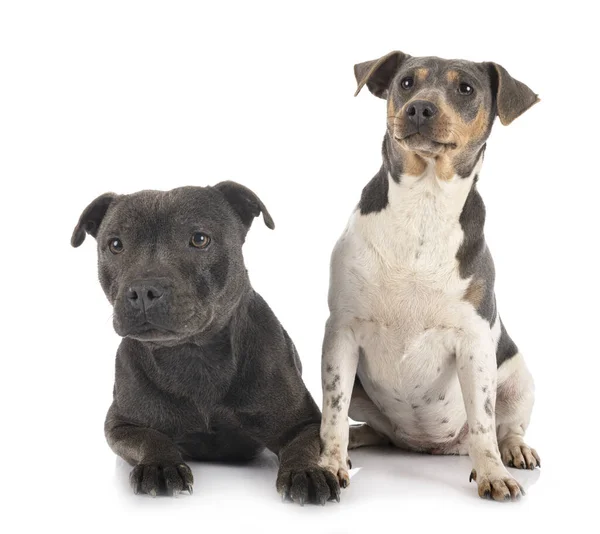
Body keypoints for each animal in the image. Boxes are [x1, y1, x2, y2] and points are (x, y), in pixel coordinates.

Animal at [72, 181, 340, 506]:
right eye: (115, 244)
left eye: (200, 239)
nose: (144, 290)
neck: (194, 355)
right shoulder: (121, 424)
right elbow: (151, 437)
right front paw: (160, 464)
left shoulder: (305, 423)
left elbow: (304, 446)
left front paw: (307, 472)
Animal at [322, 50, 540, 502]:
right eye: (406, 82)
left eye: (466, 89)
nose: (419, 108)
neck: (424, 203)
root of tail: (423, 445)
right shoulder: (341, 334)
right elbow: (331, 413)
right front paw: (329, 463)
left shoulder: (474, 344)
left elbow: (483, 422)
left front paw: (493, 474)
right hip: (364, 392)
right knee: (373, 428)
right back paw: (359, 439)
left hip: (518, 378)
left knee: (505, 427)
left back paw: (516, 451)